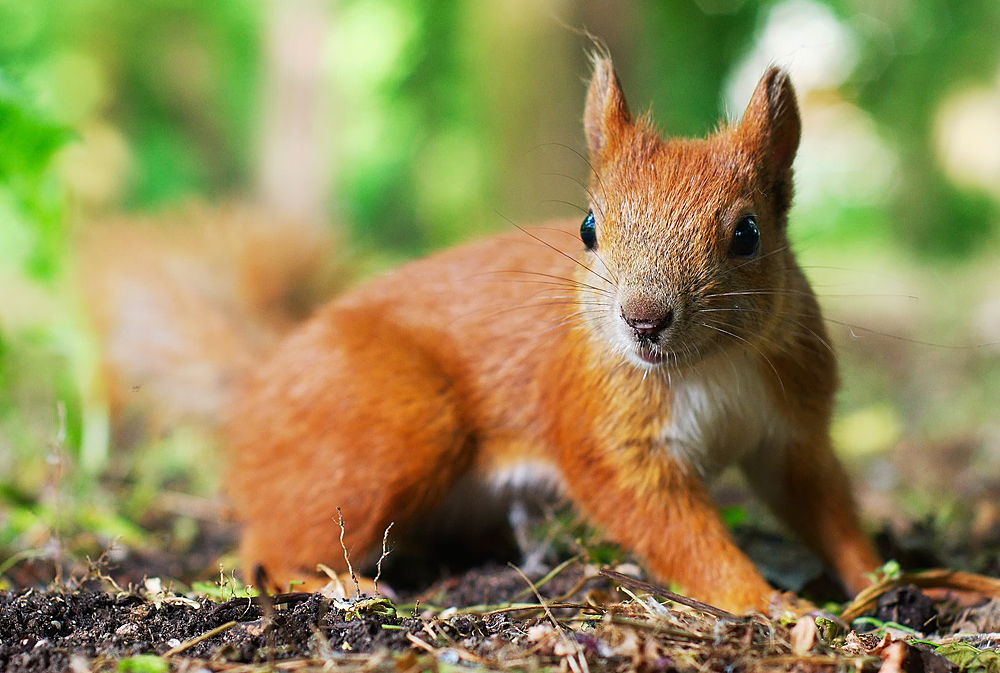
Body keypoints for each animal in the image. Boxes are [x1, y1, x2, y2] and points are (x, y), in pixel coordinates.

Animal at [90, 55, 880, 612]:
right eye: (589, 228)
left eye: (748, 233)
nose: (644, 318)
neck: (710, 366)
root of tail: (259, 383)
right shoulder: (600, 424)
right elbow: (663, 521)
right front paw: (764, 598)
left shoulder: (791, 425)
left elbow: (820, 500)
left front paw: (882, 582)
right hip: (390, 420)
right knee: (268, 543)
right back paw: (336, 584)